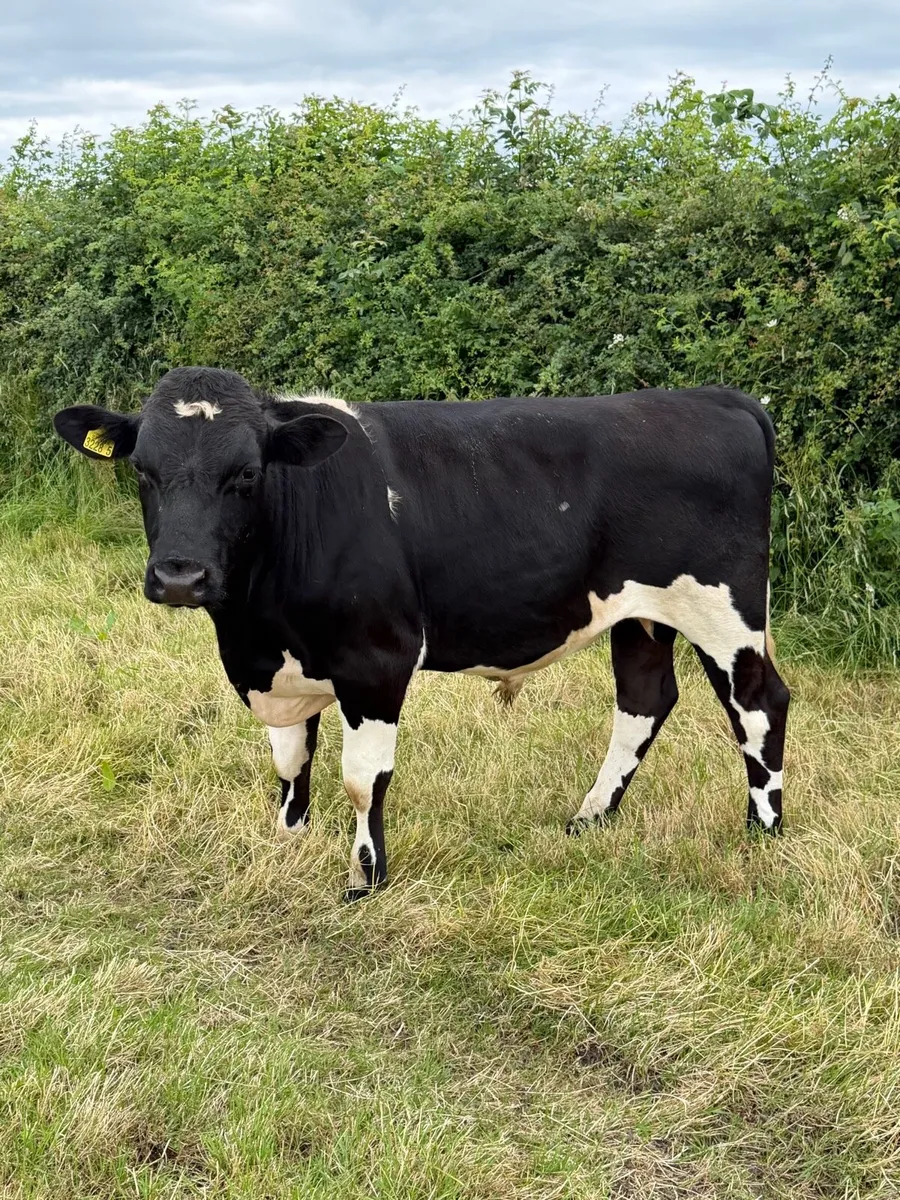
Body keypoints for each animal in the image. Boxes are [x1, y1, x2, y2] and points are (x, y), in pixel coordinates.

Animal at [54, 367, 790, 899]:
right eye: (143, 471)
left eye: (246, 474)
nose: (180, 576)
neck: (253, 625)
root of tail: (716, 398)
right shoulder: (278, 668)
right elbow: (290, 760)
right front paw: (287, 839)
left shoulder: (376, 659)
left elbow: (362, 777)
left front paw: (365, 879)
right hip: (640, 614)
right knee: (643, 700)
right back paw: (590, 818)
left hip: (723, 610)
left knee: (758, 702)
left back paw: (764, 831)